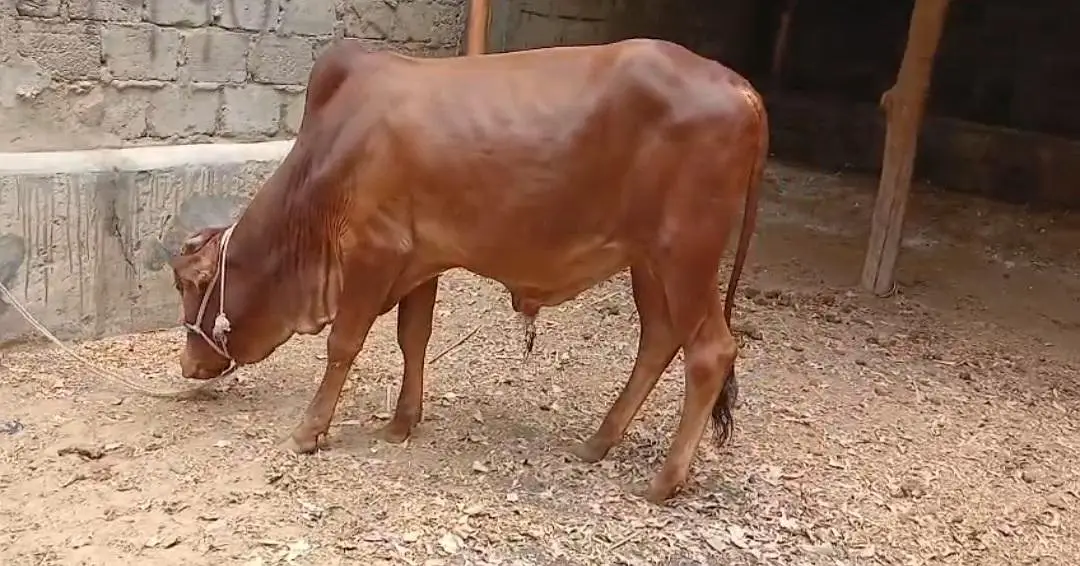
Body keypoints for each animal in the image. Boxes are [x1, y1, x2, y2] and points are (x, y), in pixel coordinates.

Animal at [168, 37, 768, 503]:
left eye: (190, 281)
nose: (188, 364)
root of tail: (740, 85)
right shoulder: (419, 261)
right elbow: (414, 338)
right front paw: (401, 423)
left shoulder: (372, 252)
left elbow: (343, 345)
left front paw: (309, 431)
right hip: (648, 262)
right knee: (660, 339)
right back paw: (598, 443)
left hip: (685, 255)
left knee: (710, 352)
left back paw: (664, 481)